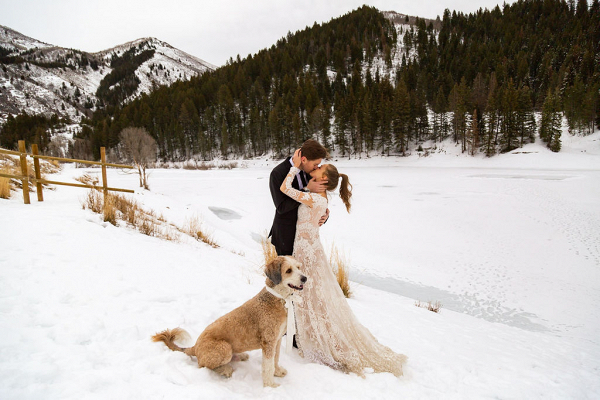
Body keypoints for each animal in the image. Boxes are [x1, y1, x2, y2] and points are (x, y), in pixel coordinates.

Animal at [152, 256, 308, 388]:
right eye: (288, 270)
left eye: (298, 267)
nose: (305, 278)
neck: (278, 298)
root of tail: (195, 347)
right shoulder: (268, 342)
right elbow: (268, 365)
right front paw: (270, 385)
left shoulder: (277, 340)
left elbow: (276, 359)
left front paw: (277, 372)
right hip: (223, 347)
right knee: (204, 365)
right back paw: (225, 369)